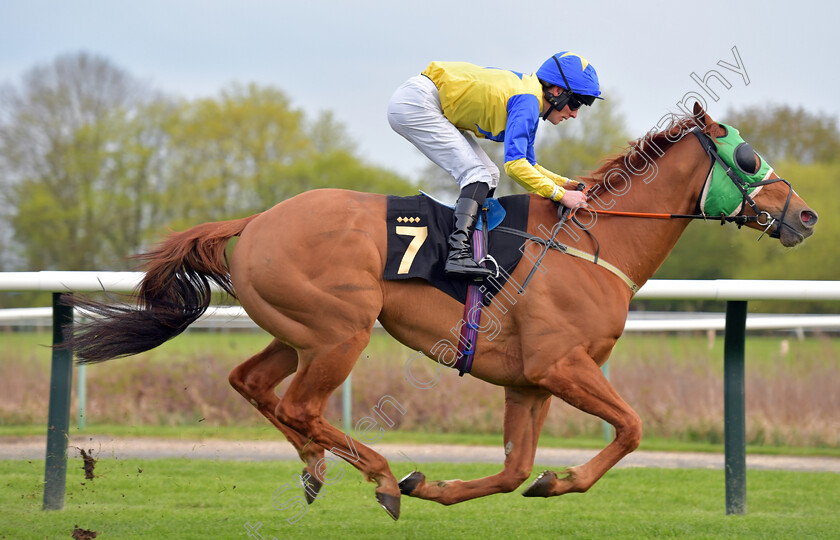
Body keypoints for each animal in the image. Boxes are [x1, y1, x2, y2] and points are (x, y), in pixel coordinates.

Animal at [65, 103, 812, 520]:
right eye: (748, 156)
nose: (804, 215)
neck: (591, 241)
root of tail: (256, 221)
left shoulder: (528, 381)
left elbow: (512, 471)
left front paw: (450, 485)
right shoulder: (561, 365)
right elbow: (630, 428)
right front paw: (562, 479)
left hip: (298, 330)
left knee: (253, 384)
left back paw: (317, 468)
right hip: (342, 331)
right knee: (301, 403)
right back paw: (378, 476)